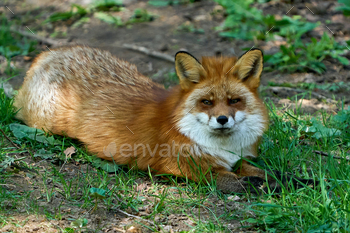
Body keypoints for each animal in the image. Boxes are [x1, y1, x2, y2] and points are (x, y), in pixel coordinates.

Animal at [14, 46, 278, 193]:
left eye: (234, 101)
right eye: (207, 102)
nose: (222, 119)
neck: (223, 147)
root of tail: (48, 54)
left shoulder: (239, 160)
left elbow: (266, 173)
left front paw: (285, 179)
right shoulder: (192, 168)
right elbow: (243, 183)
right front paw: (267, 186)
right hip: (46, 126)